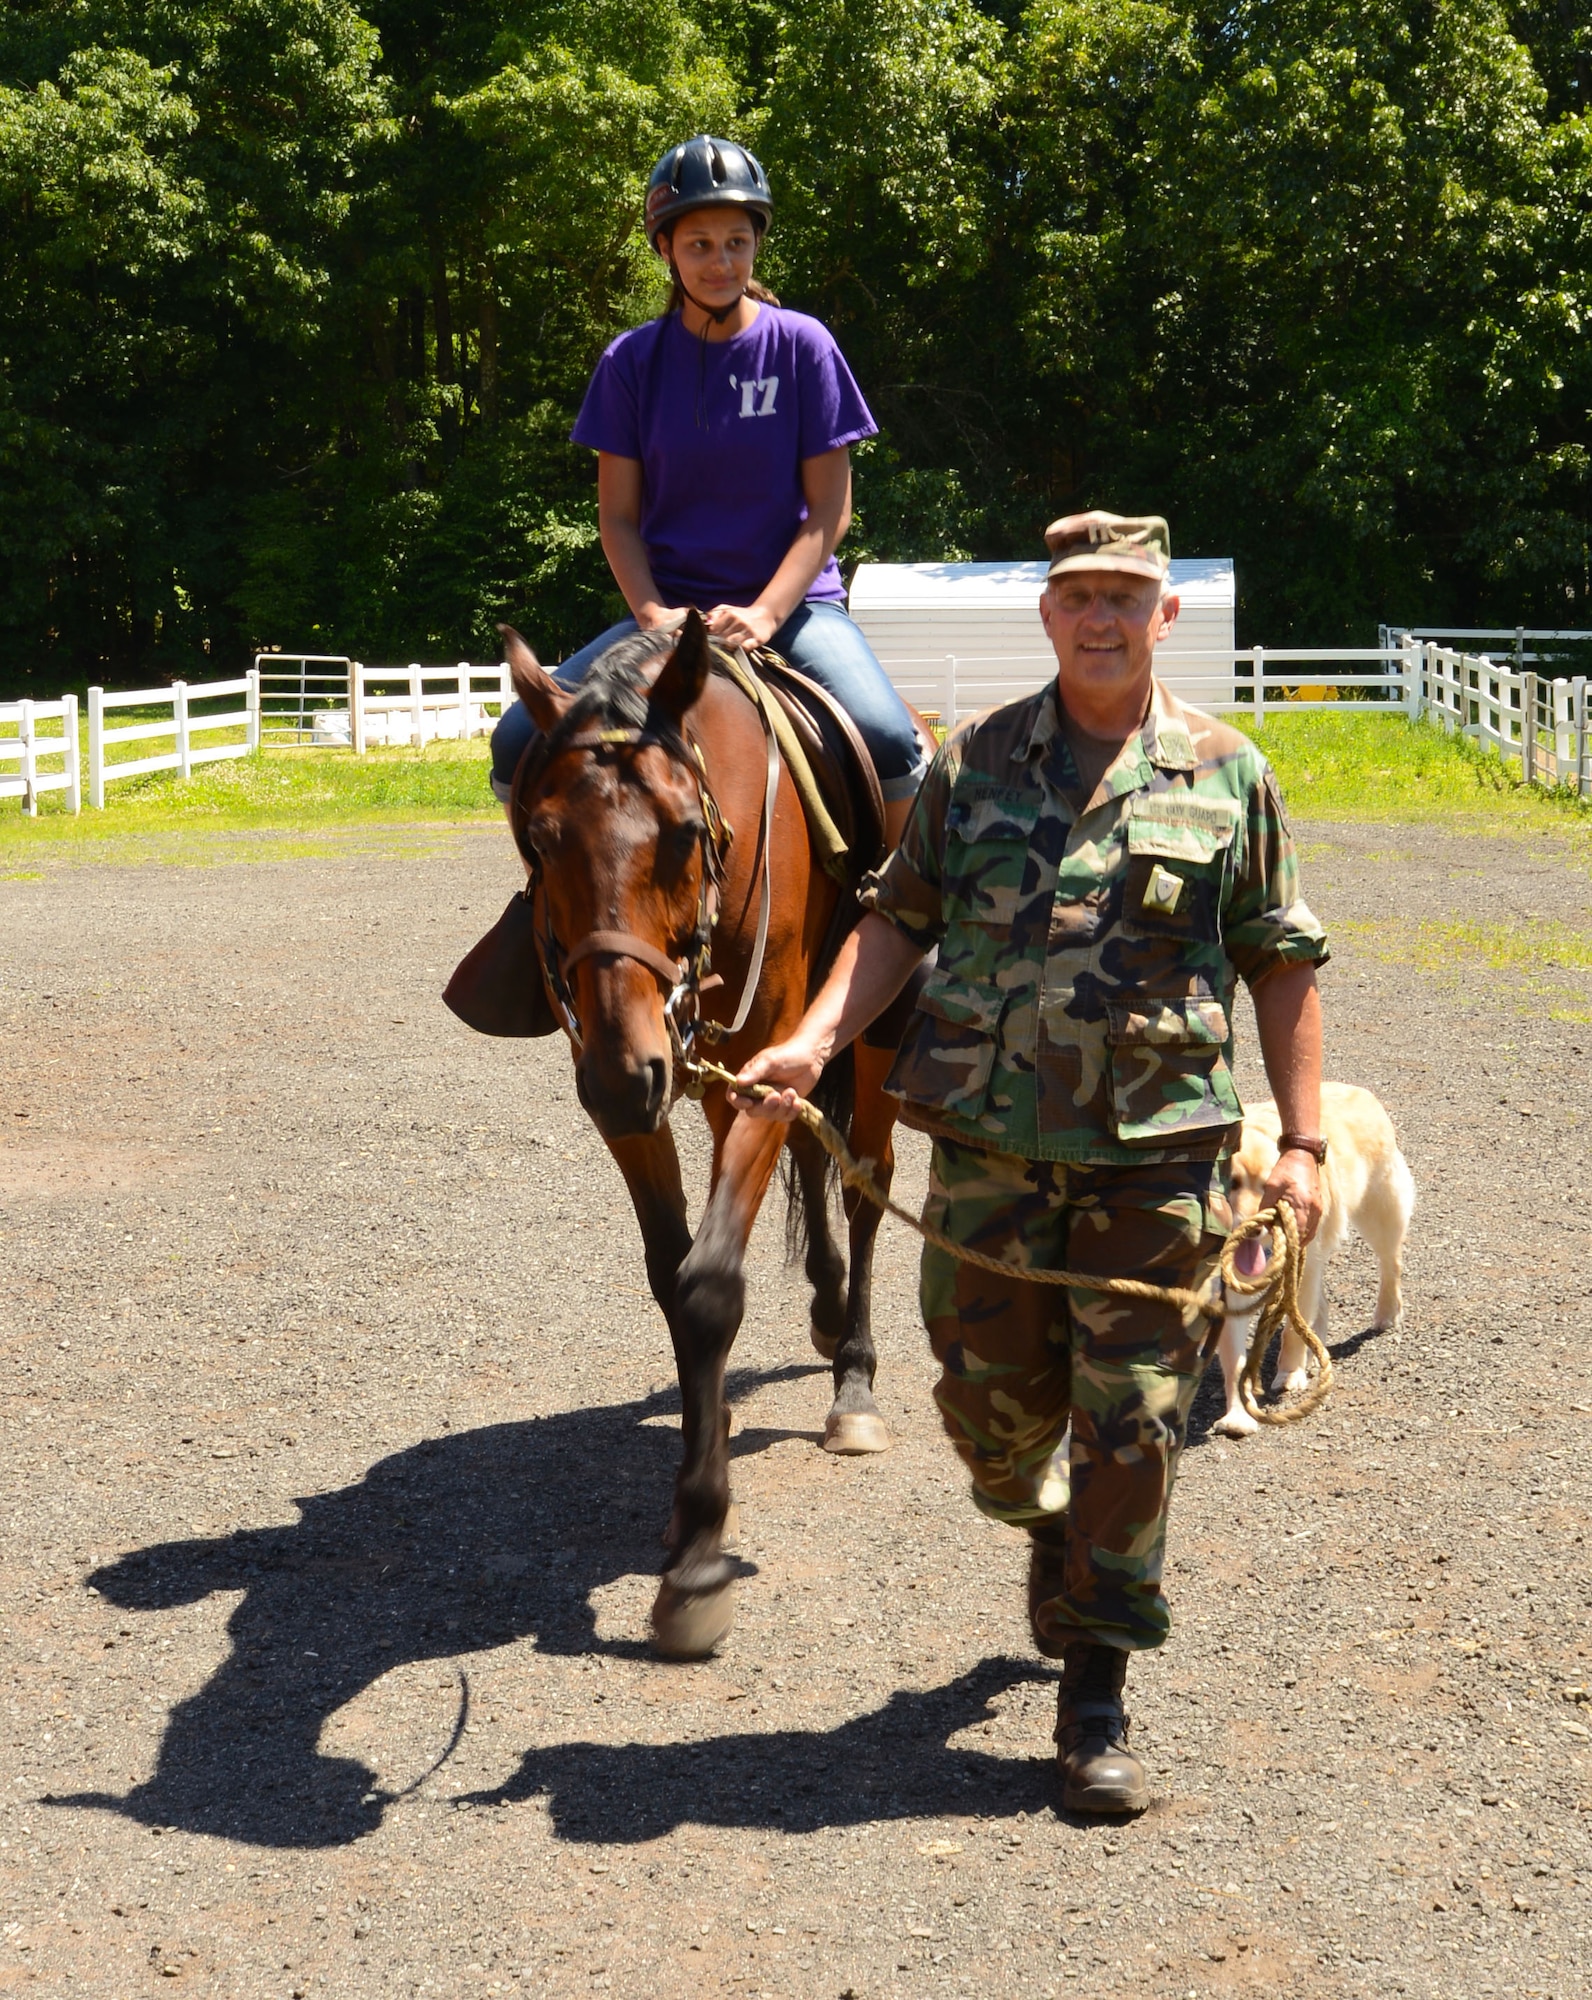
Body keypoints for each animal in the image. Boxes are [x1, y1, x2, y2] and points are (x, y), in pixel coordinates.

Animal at [504, 608, 916, 1656]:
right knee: (816, 1158)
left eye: (686, 834)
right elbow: (669, 1275)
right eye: (539, 839)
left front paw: (696, 1556)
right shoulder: (633, 1099)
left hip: (867, 1038)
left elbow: (707, 1288)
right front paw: (701, 1455)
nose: (626, 1071)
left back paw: (854, 1380)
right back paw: (825, 1310)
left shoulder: (756, 1071)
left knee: (865, 1182)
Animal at [1216, 1088, 1416, 1432]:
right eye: (1233, 1183)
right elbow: (1235, 1357)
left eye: (1269, 1186)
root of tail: (1361, 1091)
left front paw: (1290, 1374)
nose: (1253, 1228)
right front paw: (1238, 1415)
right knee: (1321, 1307)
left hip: (1379, 1213)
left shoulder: (1302, 1268)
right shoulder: (1231, 1286)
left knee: (1391, 1263)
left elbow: (1294, 1330)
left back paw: (1387, 1313)